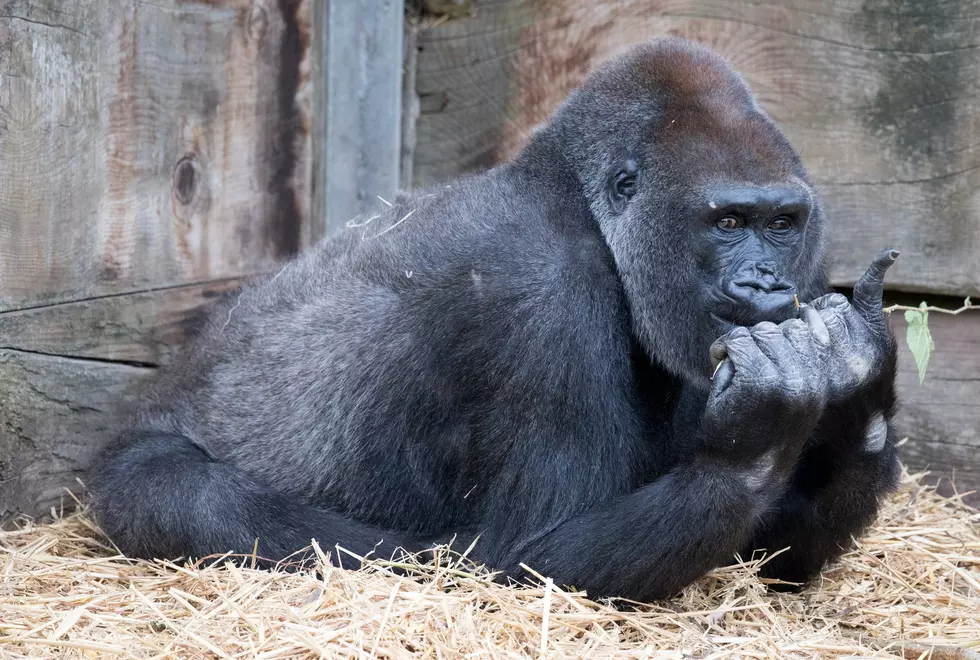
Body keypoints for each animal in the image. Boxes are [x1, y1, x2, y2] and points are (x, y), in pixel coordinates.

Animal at [88, 37, 900, 604]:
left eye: (782, 224)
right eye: (728, 222)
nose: (766, 282)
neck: (574, 196)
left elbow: (773, 552)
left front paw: (861, 384)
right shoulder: (542, 292)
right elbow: (528, 557)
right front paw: (756, 439)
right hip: (131, 465)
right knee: (188, 492)